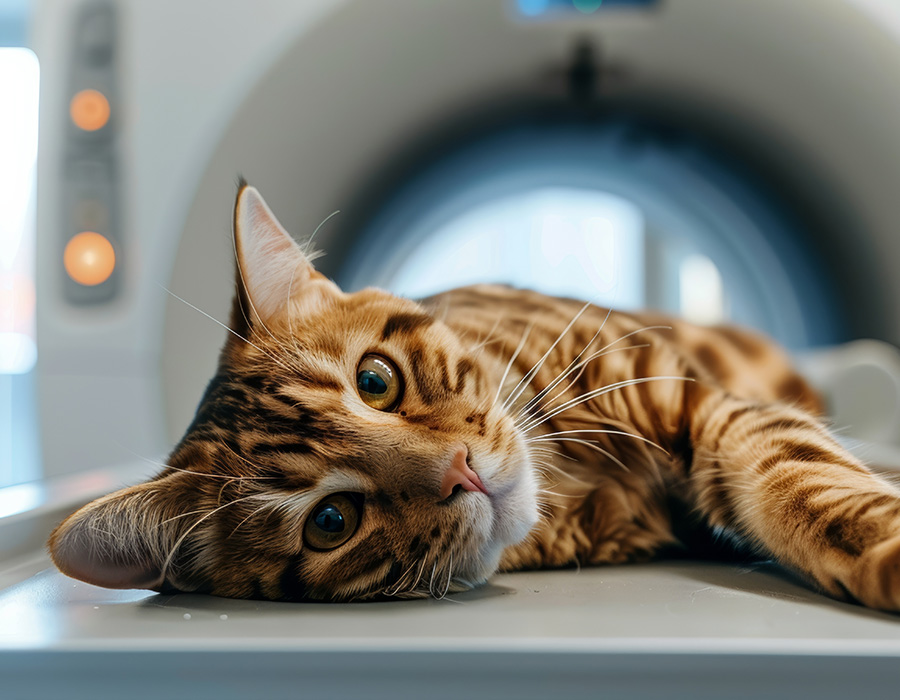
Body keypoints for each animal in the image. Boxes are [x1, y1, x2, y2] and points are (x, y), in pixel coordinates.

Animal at [49, 183, 900, 608]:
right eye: (331, 522)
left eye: (376, 380)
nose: (459, 469)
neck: (577, 485)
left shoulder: (695, 397)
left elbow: (804, 475)